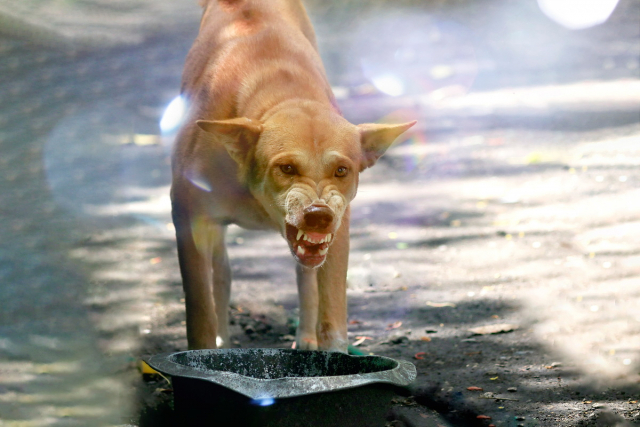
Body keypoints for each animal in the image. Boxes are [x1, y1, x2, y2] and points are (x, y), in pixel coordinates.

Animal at [170, 0, 416, 352]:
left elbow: (331, 313)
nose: (319, 215)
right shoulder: (190, 220)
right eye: (286, 168)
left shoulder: (338, 230)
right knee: (221, 276)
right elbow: (201, 312)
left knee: (305, 280)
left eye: (342, 170)